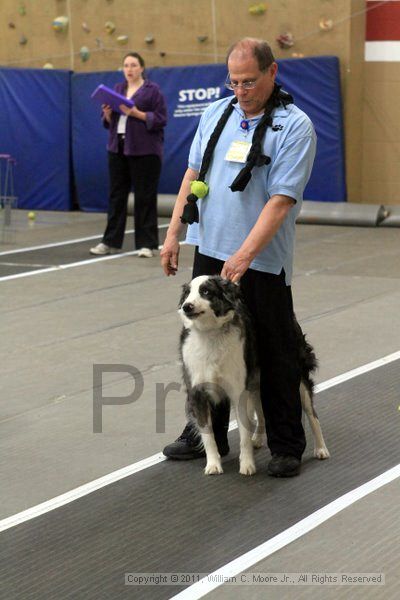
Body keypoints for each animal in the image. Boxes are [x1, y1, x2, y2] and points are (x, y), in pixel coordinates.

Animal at [180, 274, 330, 476]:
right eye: (188, 293)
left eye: (205, 291)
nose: (186, 306)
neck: (210, 333)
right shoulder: (198, 393)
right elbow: (208, 434)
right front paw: (213, 465)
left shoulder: (238, 392)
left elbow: (243, 434)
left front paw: (247, 464)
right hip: (255, 385)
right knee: (261, 413)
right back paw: (257, 440)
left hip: (298, 379)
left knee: (312, 414)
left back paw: (321, 449)